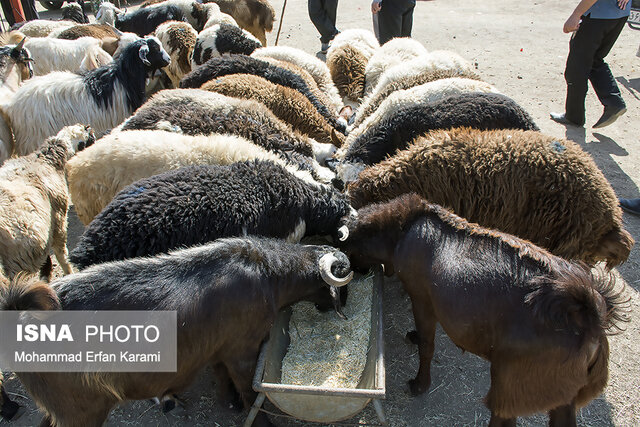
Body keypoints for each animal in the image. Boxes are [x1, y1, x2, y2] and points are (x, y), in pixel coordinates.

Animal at [0, 125, 95, 282]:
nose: (91, 130)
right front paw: (68, 272)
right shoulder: (58, 219)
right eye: (88, 137)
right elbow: (61, 253)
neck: (46, 161)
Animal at [338, 195, 628, 427]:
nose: (356, 273)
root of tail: (588, 317)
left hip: (511, 384)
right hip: (562, 396)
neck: (402, 229)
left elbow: (427, 345)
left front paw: (420, 384)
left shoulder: (422, 299)